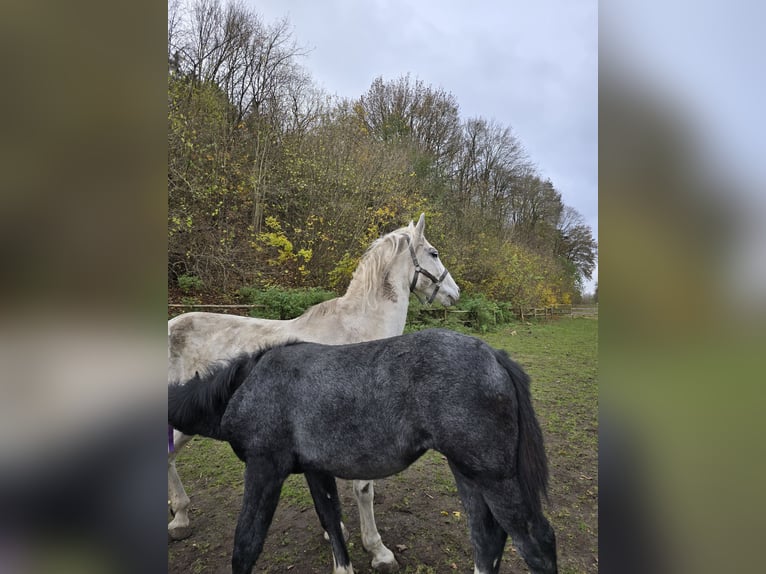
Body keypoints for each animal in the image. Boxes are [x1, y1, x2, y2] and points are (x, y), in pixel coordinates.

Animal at [168, 328, 560, 574]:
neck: (245, 384)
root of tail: (495, 356)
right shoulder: (315, 469)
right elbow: (331, 520)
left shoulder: (264, 467)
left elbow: (246, 546)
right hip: (467, 472)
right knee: (487, 539)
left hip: (495, 478)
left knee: (535, 542)